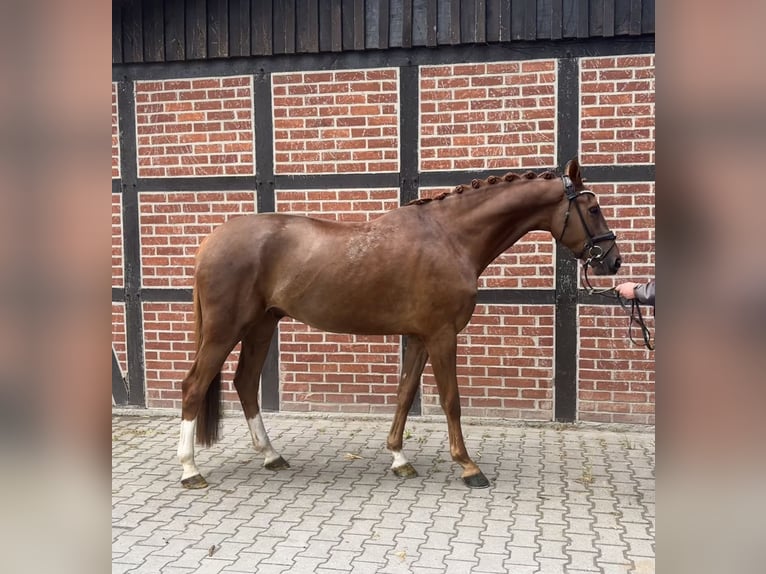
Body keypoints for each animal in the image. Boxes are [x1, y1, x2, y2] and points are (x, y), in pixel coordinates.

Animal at [177, 158, 621, 489]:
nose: (613, 261)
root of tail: (209, 242)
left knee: (245, 383)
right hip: (224, 330)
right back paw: (190, 469)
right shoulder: (442, 335)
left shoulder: (420, 336)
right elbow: (451, 400)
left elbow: (406, 394)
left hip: (261, 326)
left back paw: (271, 455)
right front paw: (468, 466)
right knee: (195, 386)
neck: (450, 237)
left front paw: (399, 458)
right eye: (593, 209)